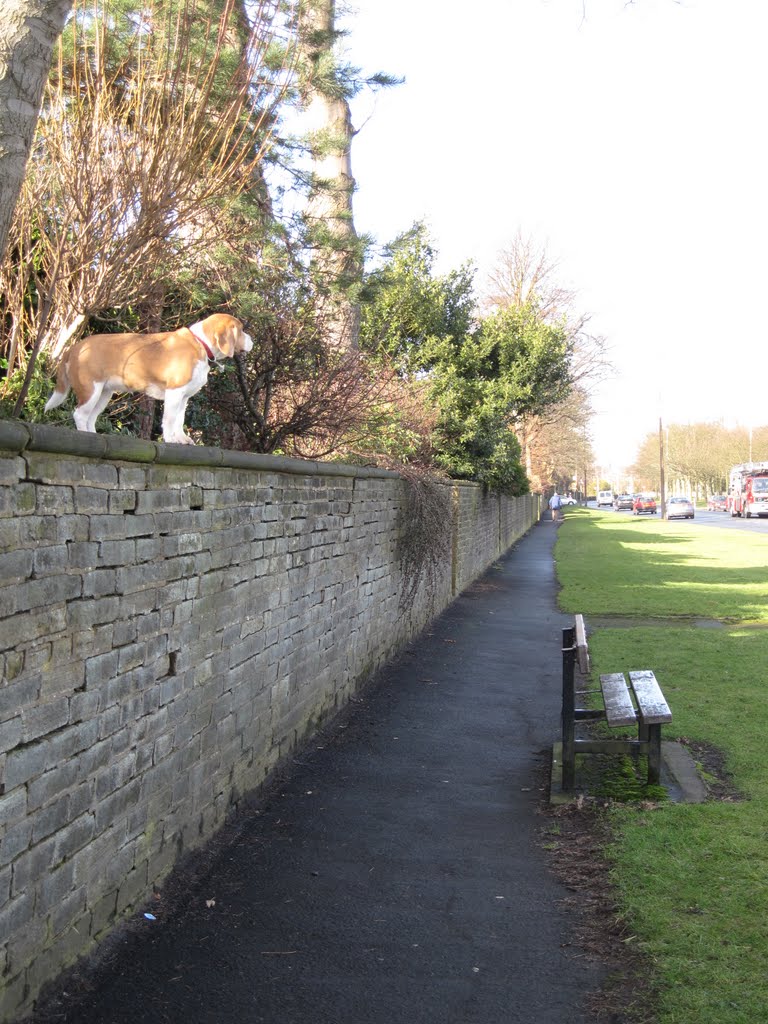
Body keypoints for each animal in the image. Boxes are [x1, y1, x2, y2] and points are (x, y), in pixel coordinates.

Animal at [43, 311, 253, 440]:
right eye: (242, 330)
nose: (252, 340)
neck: (200, 344)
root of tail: (75, 347)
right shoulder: (174, 392)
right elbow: (169, 420)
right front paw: (171, 440)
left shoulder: (184, 397)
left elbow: (180, 420)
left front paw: (182, 439)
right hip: (91, 389)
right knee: (79, 414)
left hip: (103, 394)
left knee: (90, 418)